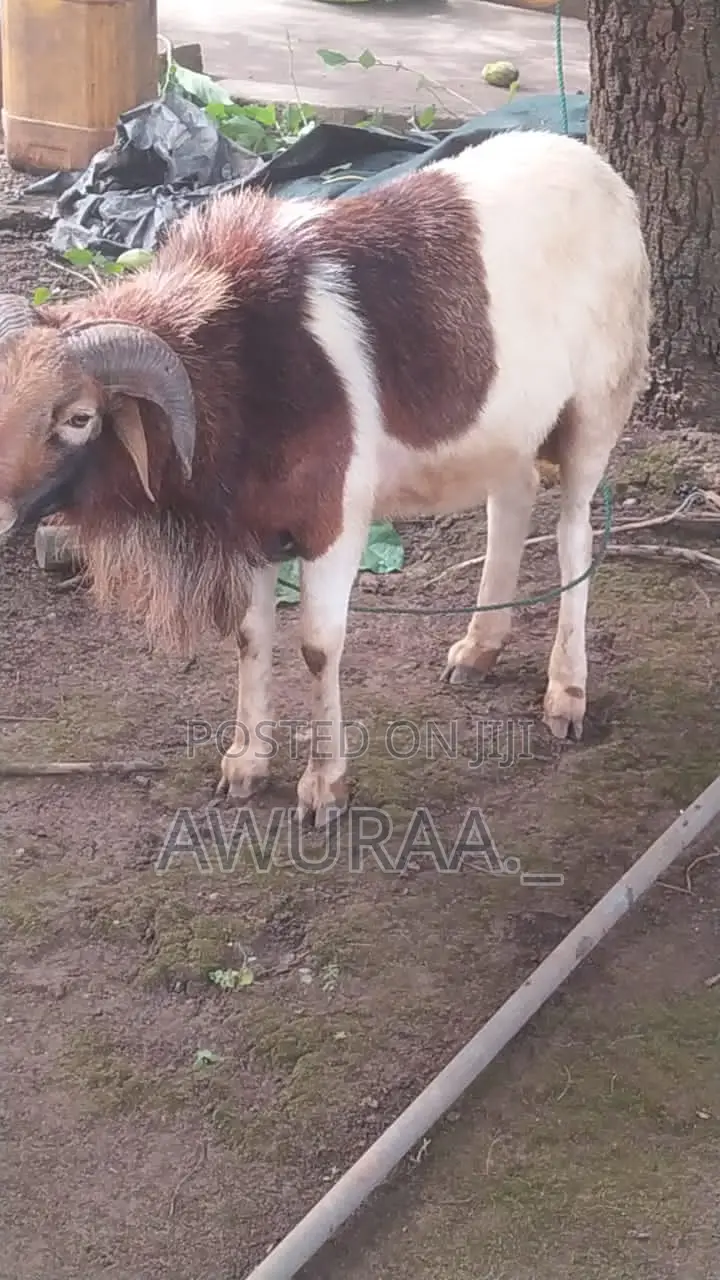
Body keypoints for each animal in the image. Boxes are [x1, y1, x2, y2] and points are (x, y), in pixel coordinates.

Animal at [0, 128, 651, 828]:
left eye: (79, 417)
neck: (247, 368)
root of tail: (597, 168)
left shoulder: (333, 524)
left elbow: (317, 646)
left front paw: (323, 788)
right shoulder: (256, 531)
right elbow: (251, 637)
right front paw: (244, 766)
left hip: (594, 413)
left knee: (574, 538)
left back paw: (566, 696)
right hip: (505, 430)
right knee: (513, 502)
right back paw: (477, 652)